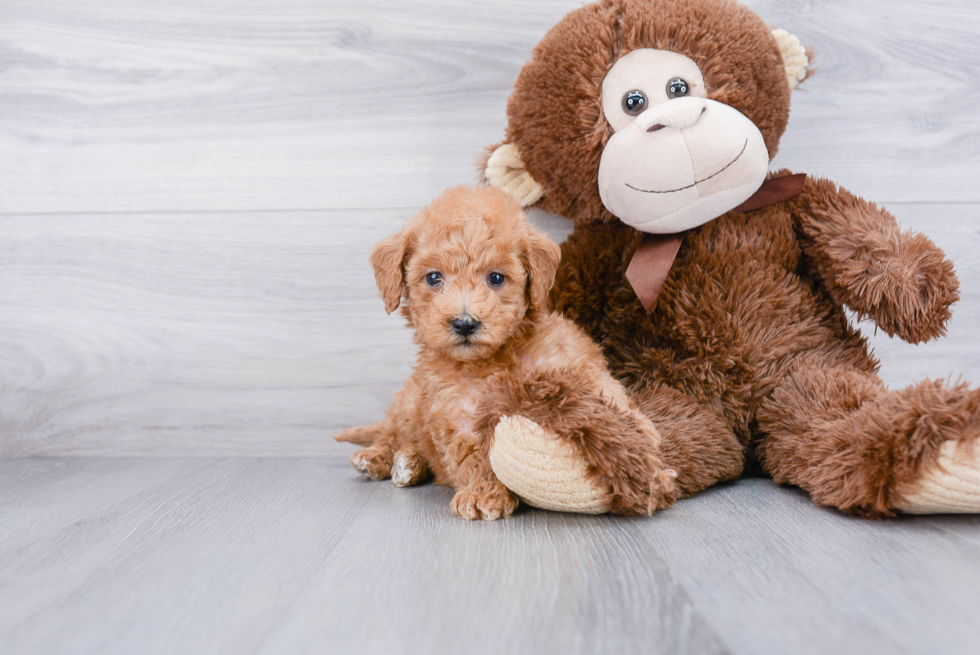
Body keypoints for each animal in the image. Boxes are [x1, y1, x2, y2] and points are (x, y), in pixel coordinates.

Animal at [334, 186, 676, 524]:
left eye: (496, 278)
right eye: (433, 278)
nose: (464, 323)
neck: (491, 360)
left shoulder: (569, 358)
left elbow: (604, 388)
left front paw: (640, 438)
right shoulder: (454, 411)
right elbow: (471, 455)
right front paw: (483, 493)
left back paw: (408, 462)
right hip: (408, 405)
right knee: (392, 433)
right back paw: (381, 458)